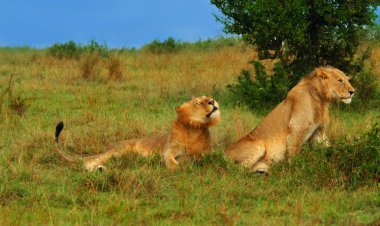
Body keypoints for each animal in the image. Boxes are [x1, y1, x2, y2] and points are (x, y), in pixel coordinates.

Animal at [53, 95, 220, 171]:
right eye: (198, 102)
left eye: (207, 97)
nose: (212, 101)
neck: (194, 129)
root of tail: (108, 147)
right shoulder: (169, 150)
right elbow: (170, 159)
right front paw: (176, 167)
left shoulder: (205, 152)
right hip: (118, 150)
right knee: (91, 162)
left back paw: (102, 169)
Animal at [224, 67, 354, 173]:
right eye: (340, 80)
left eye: (347, 80)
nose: (352, 92)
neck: (320, 100)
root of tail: (223, 152)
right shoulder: (296, 130)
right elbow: (294, 153)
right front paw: (296, 171)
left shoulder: (318, 132)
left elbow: (328, 148)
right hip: (258, 146)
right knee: (237, 170)